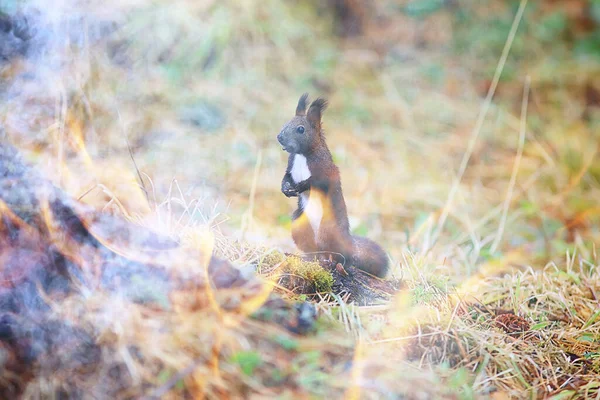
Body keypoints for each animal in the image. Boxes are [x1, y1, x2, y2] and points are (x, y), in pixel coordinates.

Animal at [276, 93, 390, 278]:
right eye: (287, 122)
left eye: (300, 129)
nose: (279, 137)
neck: (302, 155)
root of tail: (349, 245)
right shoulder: (291, 166)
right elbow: (286, 177)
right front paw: (285, 188)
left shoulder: (327, 170)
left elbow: (318, 181)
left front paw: (301, 186)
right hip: (300, 224)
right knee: (314, 251)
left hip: (328, 229)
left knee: (339, 256)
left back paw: (335, 263)